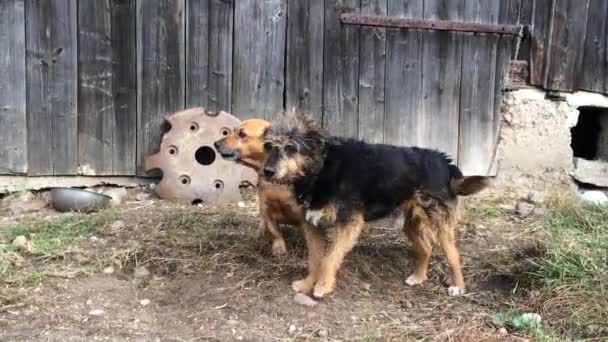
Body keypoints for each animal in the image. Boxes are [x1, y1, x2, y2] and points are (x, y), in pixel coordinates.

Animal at [262, 111, 490, 296]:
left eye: (291, 147)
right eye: (269, 146)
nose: (267, 172)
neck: (321, 169)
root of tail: (446, 163)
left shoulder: (348, 223)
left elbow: (328, 259)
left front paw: (322, 287)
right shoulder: (312, 224)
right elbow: (315, 259)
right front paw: (307, 284)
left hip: (438, 220)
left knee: (453, 254)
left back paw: (457, 286)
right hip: (410, 222)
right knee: (426, 248)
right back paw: (418, 277)